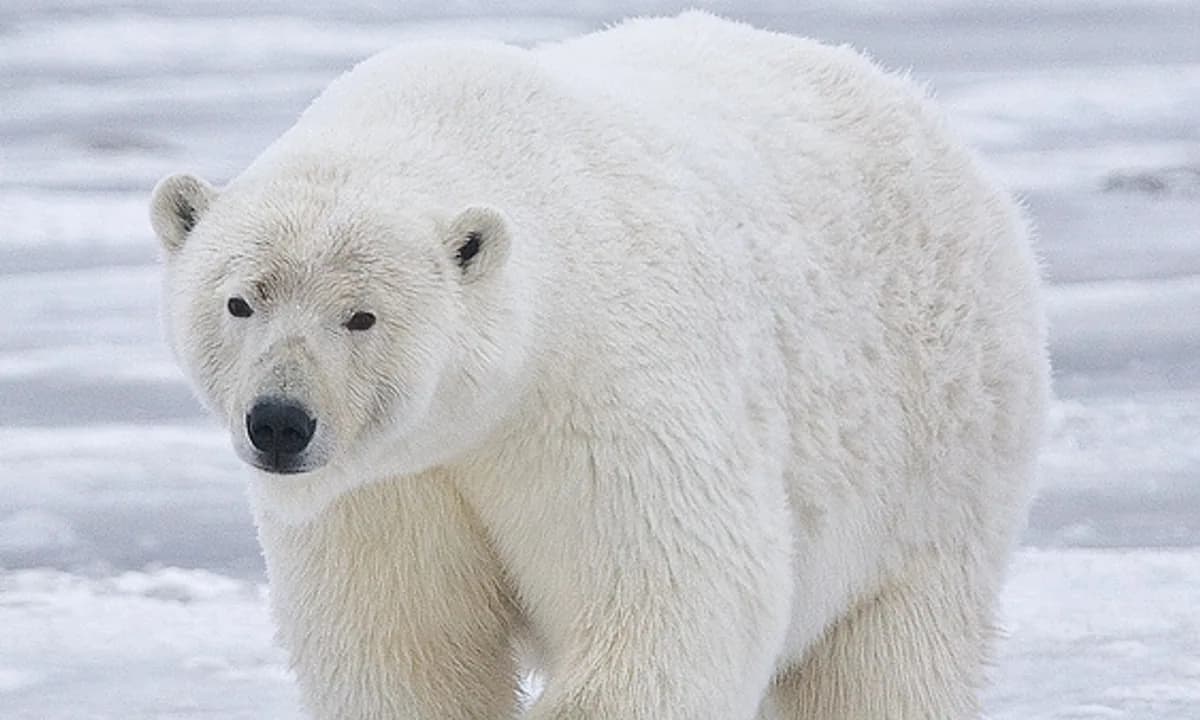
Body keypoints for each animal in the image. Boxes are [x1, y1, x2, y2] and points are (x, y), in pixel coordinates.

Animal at [150, 11, 1048, 720]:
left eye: (361, 315)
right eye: (240, 302)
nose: (280, 422)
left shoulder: (605, 395)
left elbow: (675, 603)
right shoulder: (387, 486)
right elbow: (402, 644)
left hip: (937, 445)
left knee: (887, 655)